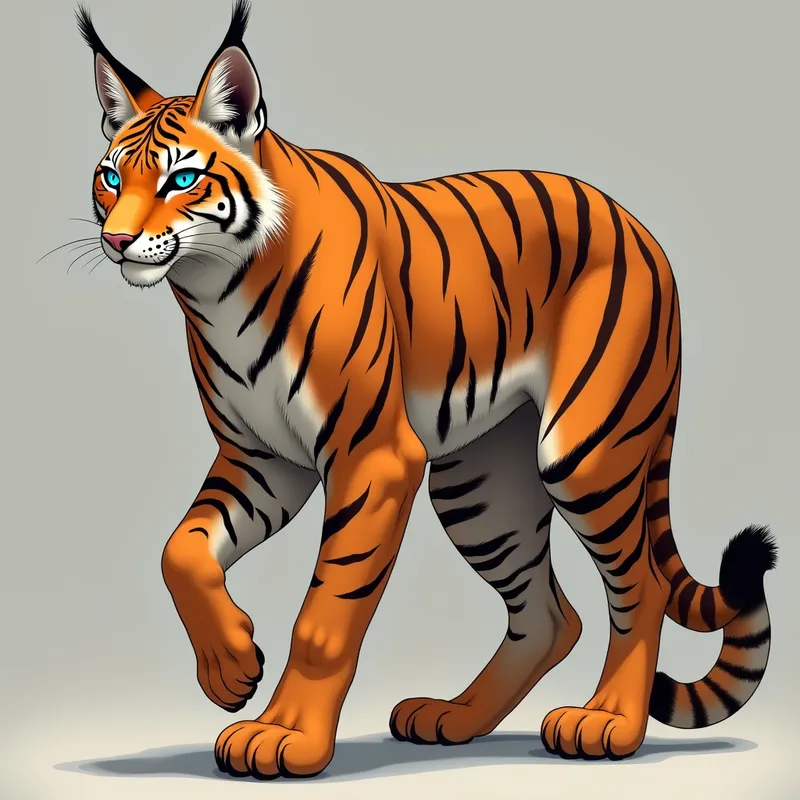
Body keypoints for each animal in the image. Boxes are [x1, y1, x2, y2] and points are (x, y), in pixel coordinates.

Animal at [73, 0, 777, 781]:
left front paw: (285, 735)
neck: (214, 287)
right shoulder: (263, 459)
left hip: (583, 451)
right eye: (110, 179)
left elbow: (325, 612)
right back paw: (454, 717)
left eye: (179, 181)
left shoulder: (371, 458)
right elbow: (181, 551)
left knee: (641, 588)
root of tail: (644, 233)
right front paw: (230, 668)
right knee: (548, 617)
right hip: (482, 485)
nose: (116, 239)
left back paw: (607, 724)